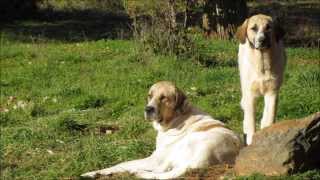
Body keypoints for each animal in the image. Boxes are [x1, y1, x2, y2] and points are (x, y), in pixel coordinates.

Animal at [81, 81, 241, 179]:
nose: (148, 109)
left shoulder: (155, 158)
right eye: (150, 96)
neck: (176, 117)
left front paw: (93, 173)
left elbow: (121, 164)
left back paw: (136, 172)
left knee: (160, 171)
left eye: (164, 98)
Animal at [236, 14, 286, 146]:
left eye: (268, 27)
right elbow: (251, 121)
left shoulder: (272, 92)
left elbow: (270, 116)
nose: (262, 40)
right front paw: (250, 140)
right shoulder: (250, 95)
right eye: (253, 28)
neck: (262, 62)